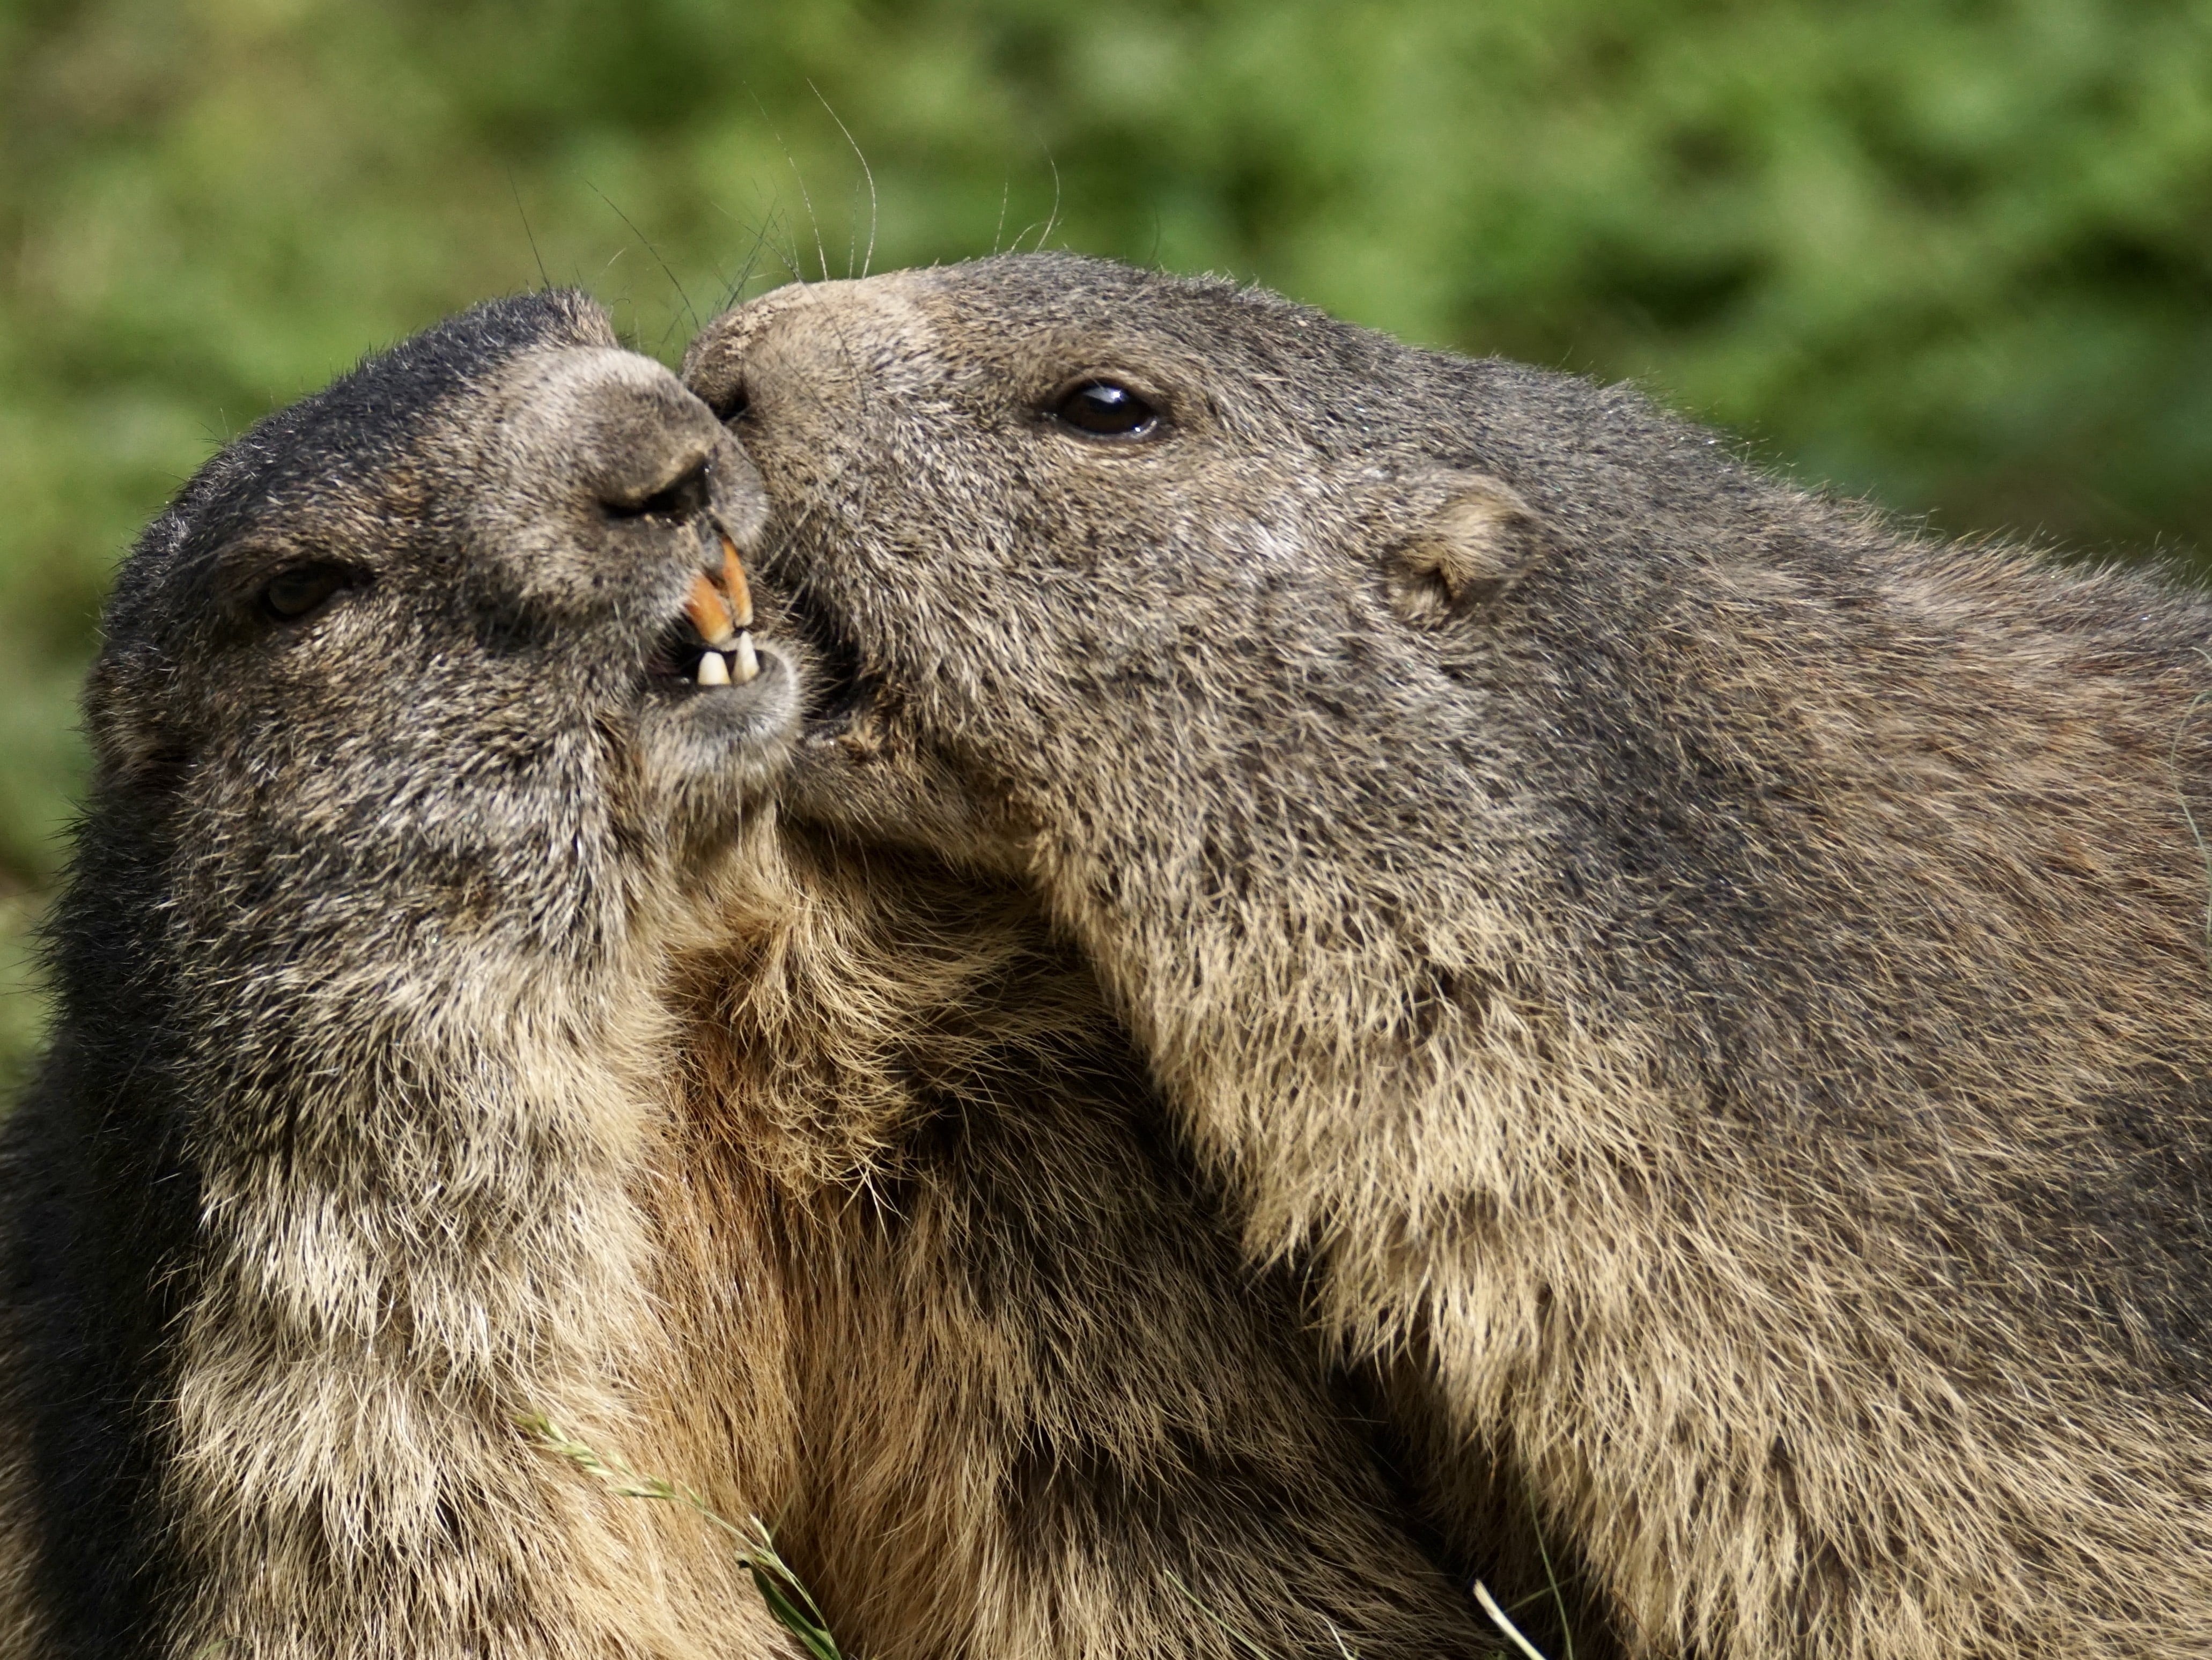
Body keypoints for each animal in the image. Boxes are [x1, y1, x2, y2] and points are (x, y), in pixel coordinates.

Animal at [0, 289, 1504, 1660]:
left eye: (581, 318)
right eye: (297, 591)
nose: (668, 450)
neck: (691, 985)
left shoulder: (1033, 1167)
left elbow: (1142, 1489)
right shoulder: (344, 1370)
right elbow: (491, 1579)